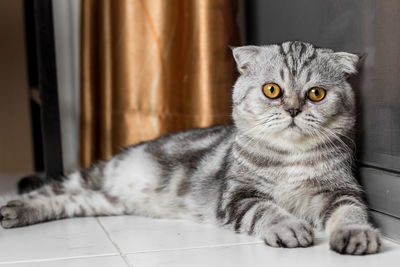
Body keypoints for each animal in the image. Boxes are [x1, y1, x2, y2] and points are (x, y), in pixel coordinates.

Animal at [0, 40, 382, 255]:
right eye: (272, 90)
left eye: (316, 93)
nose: (292, 110)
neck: (289, 157)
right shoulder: (238, 196)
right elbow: (268, 211)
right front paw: (289, 227)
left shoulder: (340, 190)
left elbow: (351, 214)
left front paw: (357, 236)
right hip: (91, 176)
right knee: (48, 190)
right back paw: (11, 208)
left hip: (100, 200)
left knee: (66, 201)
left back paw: (17, 213)